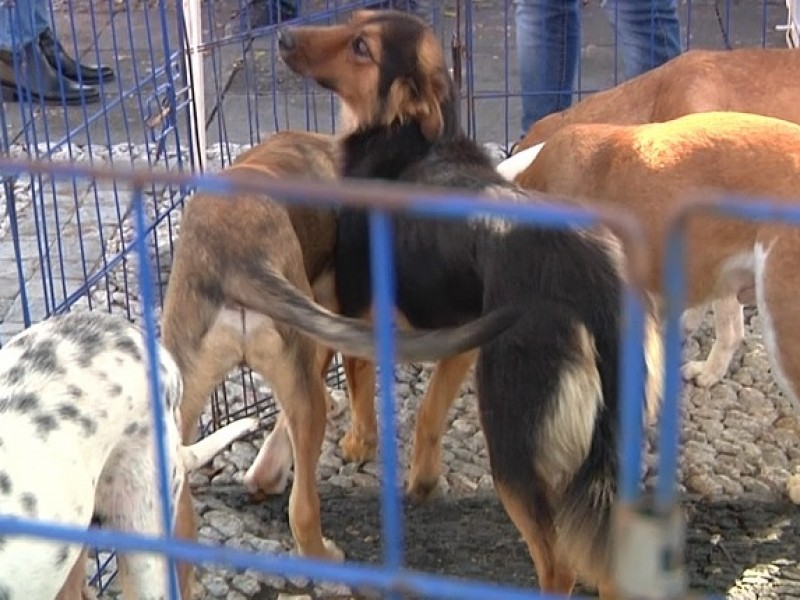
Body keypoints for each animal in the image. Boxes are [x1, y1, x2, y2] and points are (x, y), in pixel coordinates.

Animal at [270, 10, 664, 600]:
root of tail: (592, 285)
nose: (284, 36)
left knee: (559, 564)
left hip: (512, 435)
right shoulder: (459, 335)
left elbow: (359, 376)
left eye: (362, 47)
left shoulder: (359, 309)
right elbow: (430, 411)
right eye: (353, 19)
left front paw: (360, 442)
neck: (410, 140)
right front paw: (423, 481)